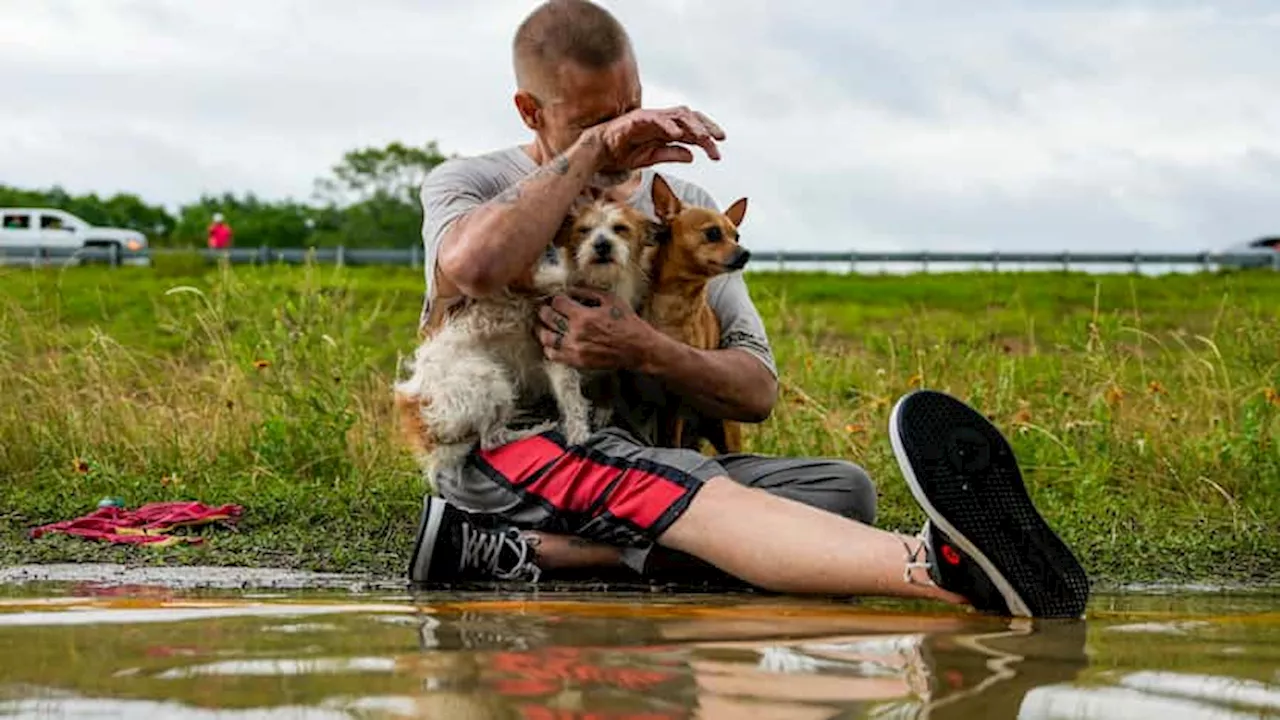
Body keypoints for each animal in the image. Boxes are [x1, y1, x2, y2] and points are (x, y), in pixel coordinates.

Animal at [391, 196, 655, 476]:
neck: (597, 285)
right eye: (584, 230)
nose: (602, 244)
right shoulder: (559, 356)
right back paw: (536, 429)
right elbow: (572, 399)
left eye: (620, 228)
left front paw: (604, 409)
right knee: (491, 440)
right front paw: (579, 433)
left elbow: (607, 380)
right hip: (490, 381)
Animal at [645, 174, 747, 450]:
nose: (746, 253)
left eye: (737, 236)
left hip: (726, 430)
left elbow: (671, 437)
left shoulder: (680, 390)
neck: (675, 297)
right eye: (713, 233)